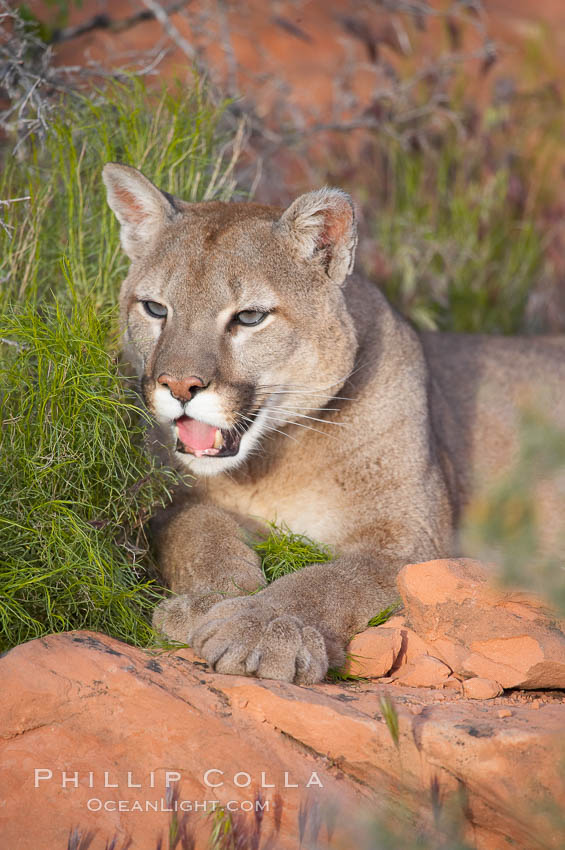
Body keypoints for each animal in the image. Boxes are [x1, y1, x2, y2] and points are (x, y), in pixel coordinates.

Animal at [102, 164, 564, 684]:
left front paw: (263, 627)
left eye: (250, 317)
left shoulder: (410, 541)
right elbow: (197, 531)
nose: (179, 386)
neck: (268, 466)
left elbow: (332, 579)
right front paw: (209, 599)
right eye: (155, 308)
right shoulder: (167, 497)